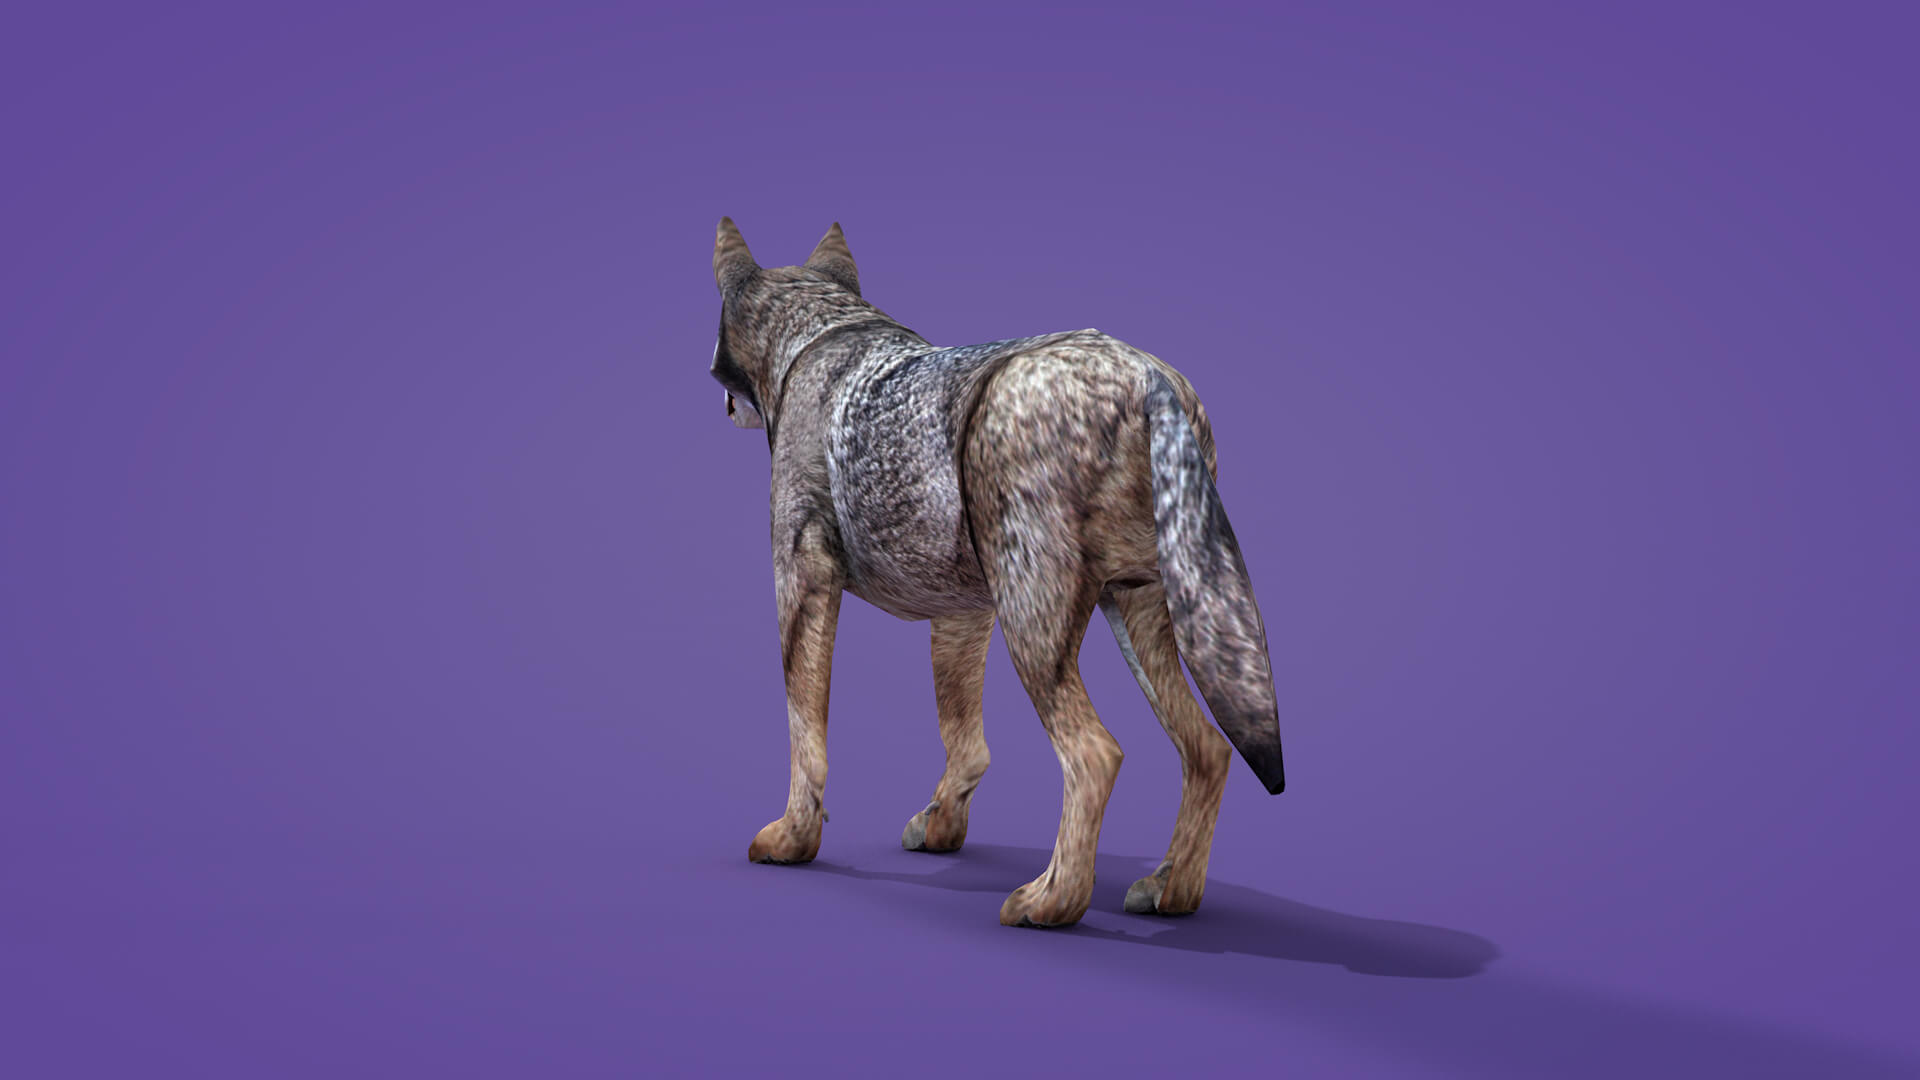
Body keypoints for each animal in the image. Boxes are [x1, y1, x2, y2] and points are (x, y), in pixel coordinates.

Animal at [707, 218, 1285, 927]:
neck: (823, 332)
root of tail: (1147, 375)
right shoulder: (962, 614)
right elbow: (964, 738)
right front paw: (943, 825)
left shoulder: (802, 580)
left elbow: (804, 730)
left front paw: (794, 838)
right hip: (1140, 619)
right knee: (1208, 747)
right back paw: (1171, 890)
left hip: (1035, 625)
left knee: (1097, 755)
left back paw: (1053, 900)